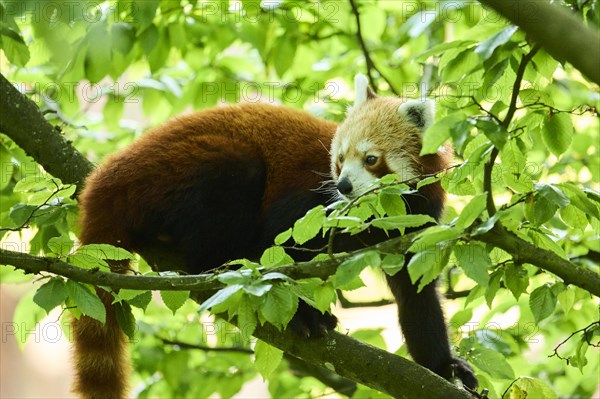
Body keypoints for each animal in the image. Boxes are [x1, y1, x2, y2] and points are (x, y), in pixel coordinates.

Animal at [74, 76, 478, 399]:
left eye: (371, 159)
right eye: (339, 159)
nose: (344, 186)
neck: (375, 214)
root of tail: (110, 173)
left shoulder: (413, 226)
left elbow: (416, 294)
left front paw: (443, 366)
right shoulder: (310, 205)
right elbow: (278, 246)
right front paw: (304, 316)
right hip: (186, 169)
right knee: (237, 182)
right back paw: (222, 267)